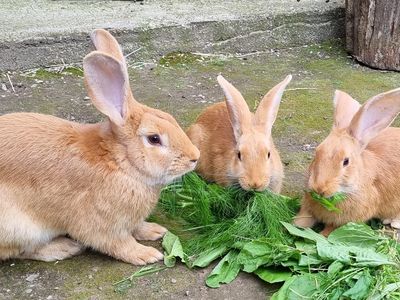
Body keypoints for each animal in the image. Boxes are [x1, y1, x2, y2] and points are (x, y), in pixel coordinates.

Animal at [0, 28, 199, 264]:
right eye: (154, 139)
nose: (195, 157)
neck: (119, 161)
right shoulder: (103, 225)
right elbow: (119, 243)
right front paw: (147, 255)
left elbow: (137, 227)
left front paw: (154, 230)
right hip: (20, 228)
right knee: (21, 250)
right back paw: (65, 248)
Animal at [294, 88, 400, 236]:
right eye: (317, 151)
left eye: (346, 161)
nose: (319, 188)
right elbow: (304, 217)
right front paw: (296, 224)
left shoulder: (347, 219)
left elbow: (331, 229)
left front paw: (321, 235)